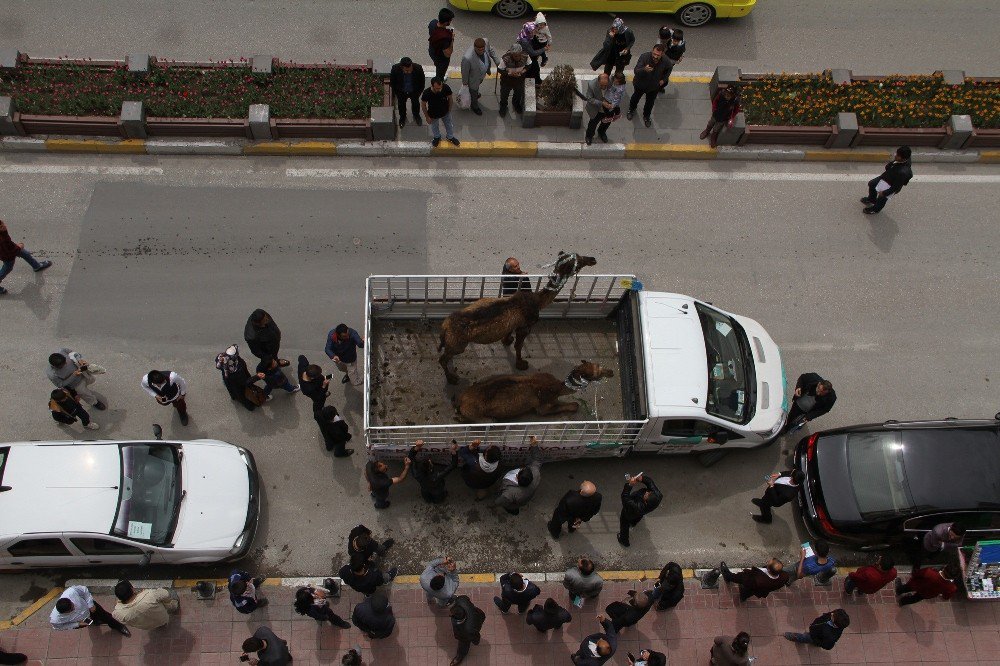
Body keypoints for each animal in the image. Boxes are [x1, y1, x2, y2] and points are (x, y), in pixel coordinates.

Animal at [436, 249, 592, 384]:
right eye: (579, 261)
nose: (593, 259)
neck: (538, 301)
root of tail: (444, 327)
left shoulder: (515, 324)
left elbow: (510, 336)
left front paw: (507, 340)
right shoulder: (526, 326)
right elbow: (519, 346)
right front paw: (521, 364)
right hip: (458, 343)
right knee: (442, 358)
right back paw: (451, 379)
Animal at [458, 358, 612, 420]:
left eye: (598, 365)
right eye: (594, 375)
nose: (611, 372)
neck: (558, 387)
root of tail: (461, 403)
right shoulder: (542, 406)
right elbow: (573, 405)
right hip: (476, 415)